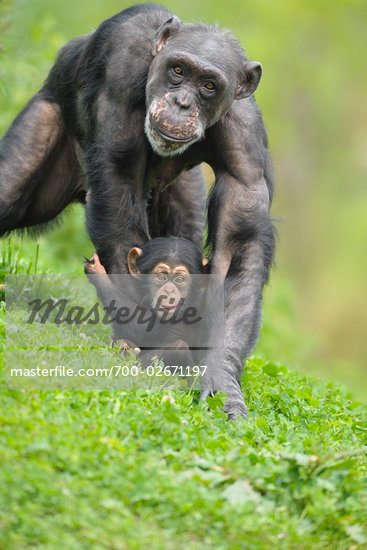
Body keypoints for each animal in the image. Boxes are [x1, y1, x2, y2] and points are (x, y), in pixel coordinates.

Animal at [0, 4, 274, 420]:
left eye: (209, 85)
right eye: (178, 71)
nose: (181, 103)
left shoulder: (245, 138)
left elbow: (238, 245)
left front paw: (222, 379)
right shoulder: (120, 67)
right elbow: (118, 185)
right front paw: (138, 337)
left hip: (182, 189)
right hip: (46, 120)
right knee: (10, 191)